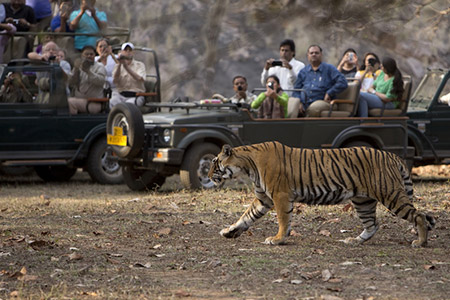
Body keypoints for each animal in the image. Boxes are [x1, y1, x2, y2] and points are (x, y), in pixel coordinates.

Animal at [208, 142, 436, 247]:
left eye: (215, 163)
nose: (208, 176)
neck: (248, 165)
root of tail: (391, 155)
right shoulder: (263, 198)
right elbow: (246, 216)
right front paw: (229, 231)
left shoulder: (280, 195)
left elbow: (283, 219)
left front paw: (278, 239)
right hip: (363, 201)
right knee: (372, 224)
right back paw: (354, 240)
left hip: (390, 194)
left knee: (419, 216)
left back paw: (420, 242)